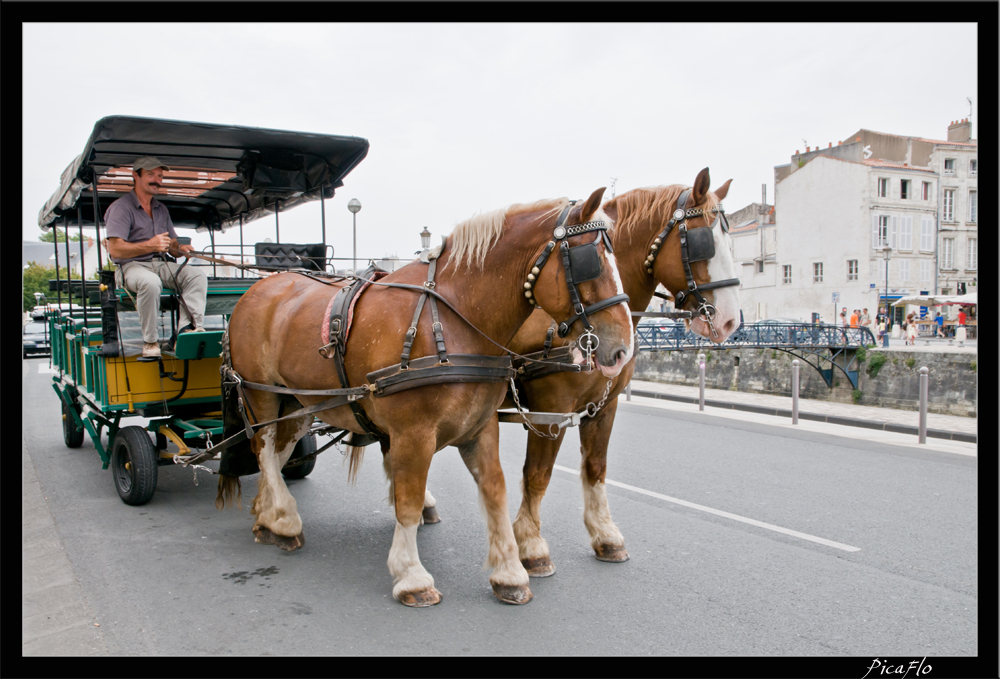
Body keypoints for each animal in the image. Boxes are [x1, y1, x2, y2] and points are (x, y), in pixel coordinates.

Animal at [223, 186, 636, 604]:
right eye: (591, 262)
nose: (622, 349)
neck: (451, 319)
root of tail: (258, 288)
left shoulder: (480, 426)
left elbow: (496, 490)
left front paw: (510, 572)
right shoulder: (413, 433)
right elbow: (407, 500)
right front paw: (412, 575)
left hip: (299, 402)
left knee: (278, 452)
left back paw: (266, 515)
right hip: (261, 395)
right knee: (264, 449)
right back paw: (284, 519)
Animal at [500, 167, 744, 576]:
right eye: (703, 242)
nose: (729, 321)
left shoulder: (604, 405)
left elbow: (596, 467)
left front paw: (605, 535)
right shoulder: (551, 410)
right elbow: (537, 475)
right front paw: (532, 546)